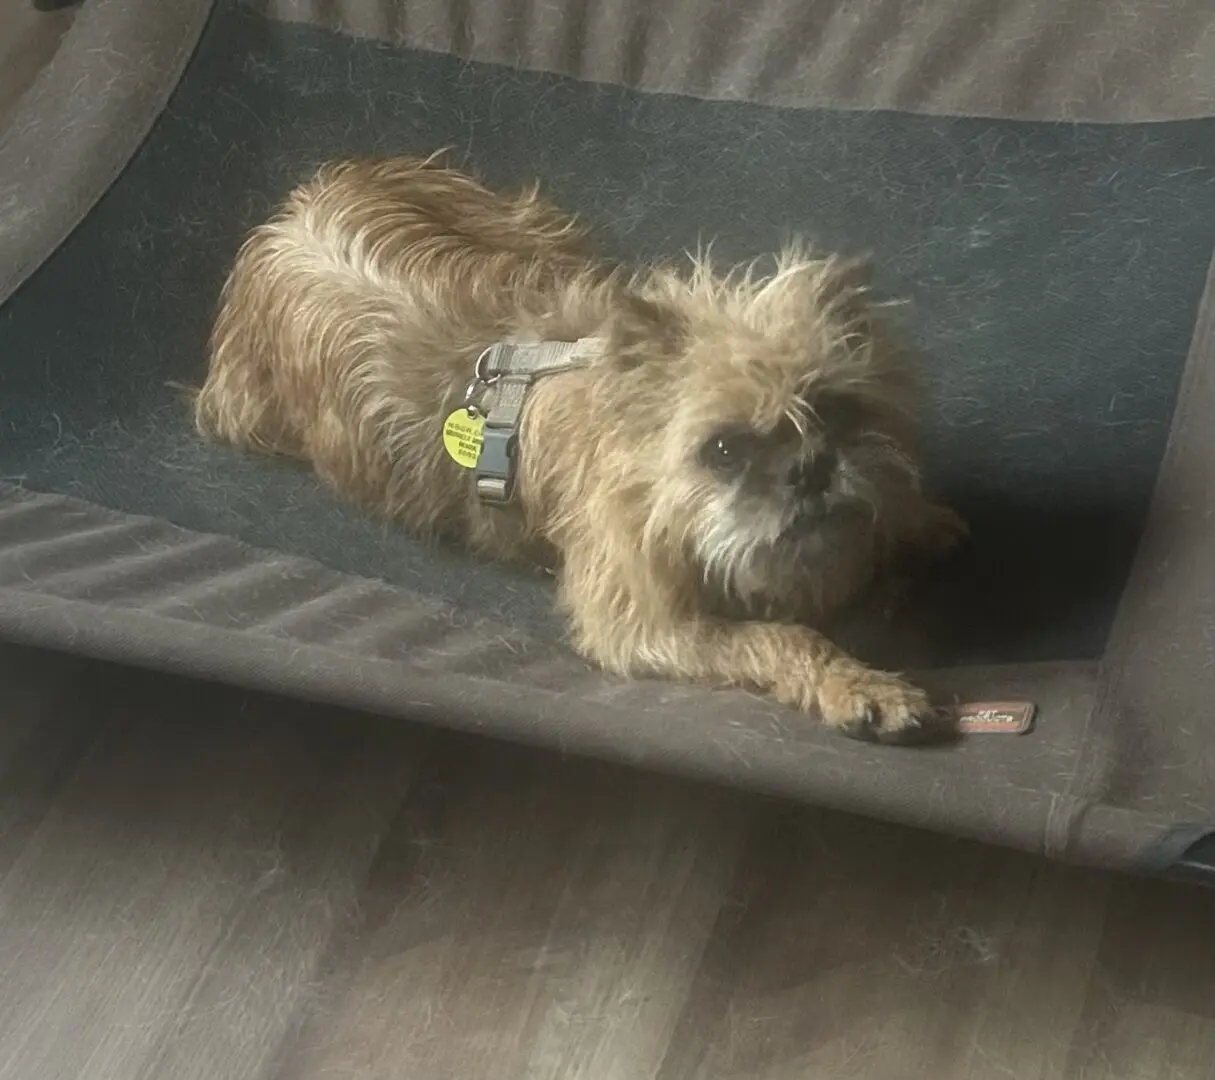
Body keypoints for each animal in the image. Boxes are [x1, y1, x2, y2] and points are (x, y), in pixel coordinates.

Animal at [193, 153, 965, 742]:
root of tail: (295, 206)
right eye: (722, 450)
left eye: (836, 410)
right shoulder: (645, 622)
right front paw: (859, 683)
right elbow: (782, 636)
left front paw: (913, 517)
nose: (809, 469)